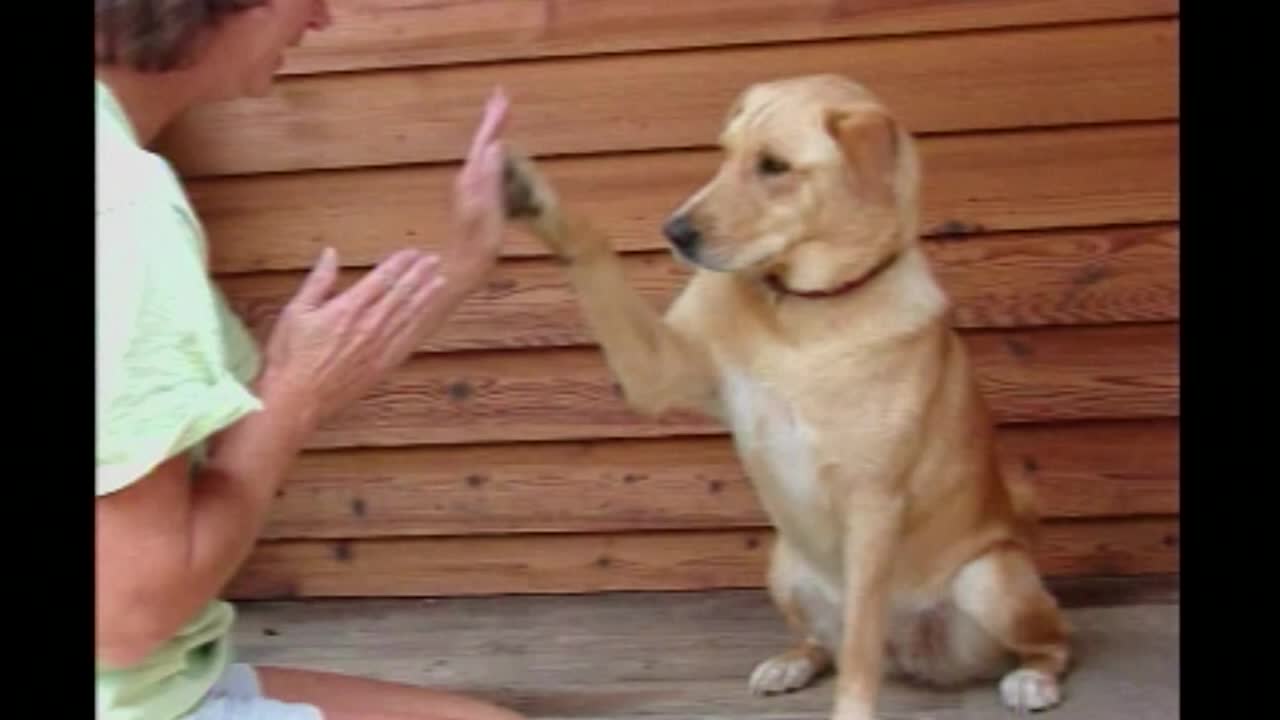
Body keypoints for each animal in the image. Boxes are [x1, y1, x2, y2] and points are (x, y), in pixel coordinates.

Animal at [499, 74, 1070, 717]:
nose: (674, 232)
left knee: (1050, 640)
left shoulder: (873, 506)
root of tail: (913, 652)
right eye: (725, 155)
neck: (801, 310)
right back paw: (791, 662)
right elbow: (594, 251)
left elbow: (861, 649)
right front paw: (537, 200)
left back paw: (1034, 679)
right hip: (783, 565)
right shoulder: (653, 370)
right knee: (822, 642)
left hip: (992, 580)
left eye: (774, 166)